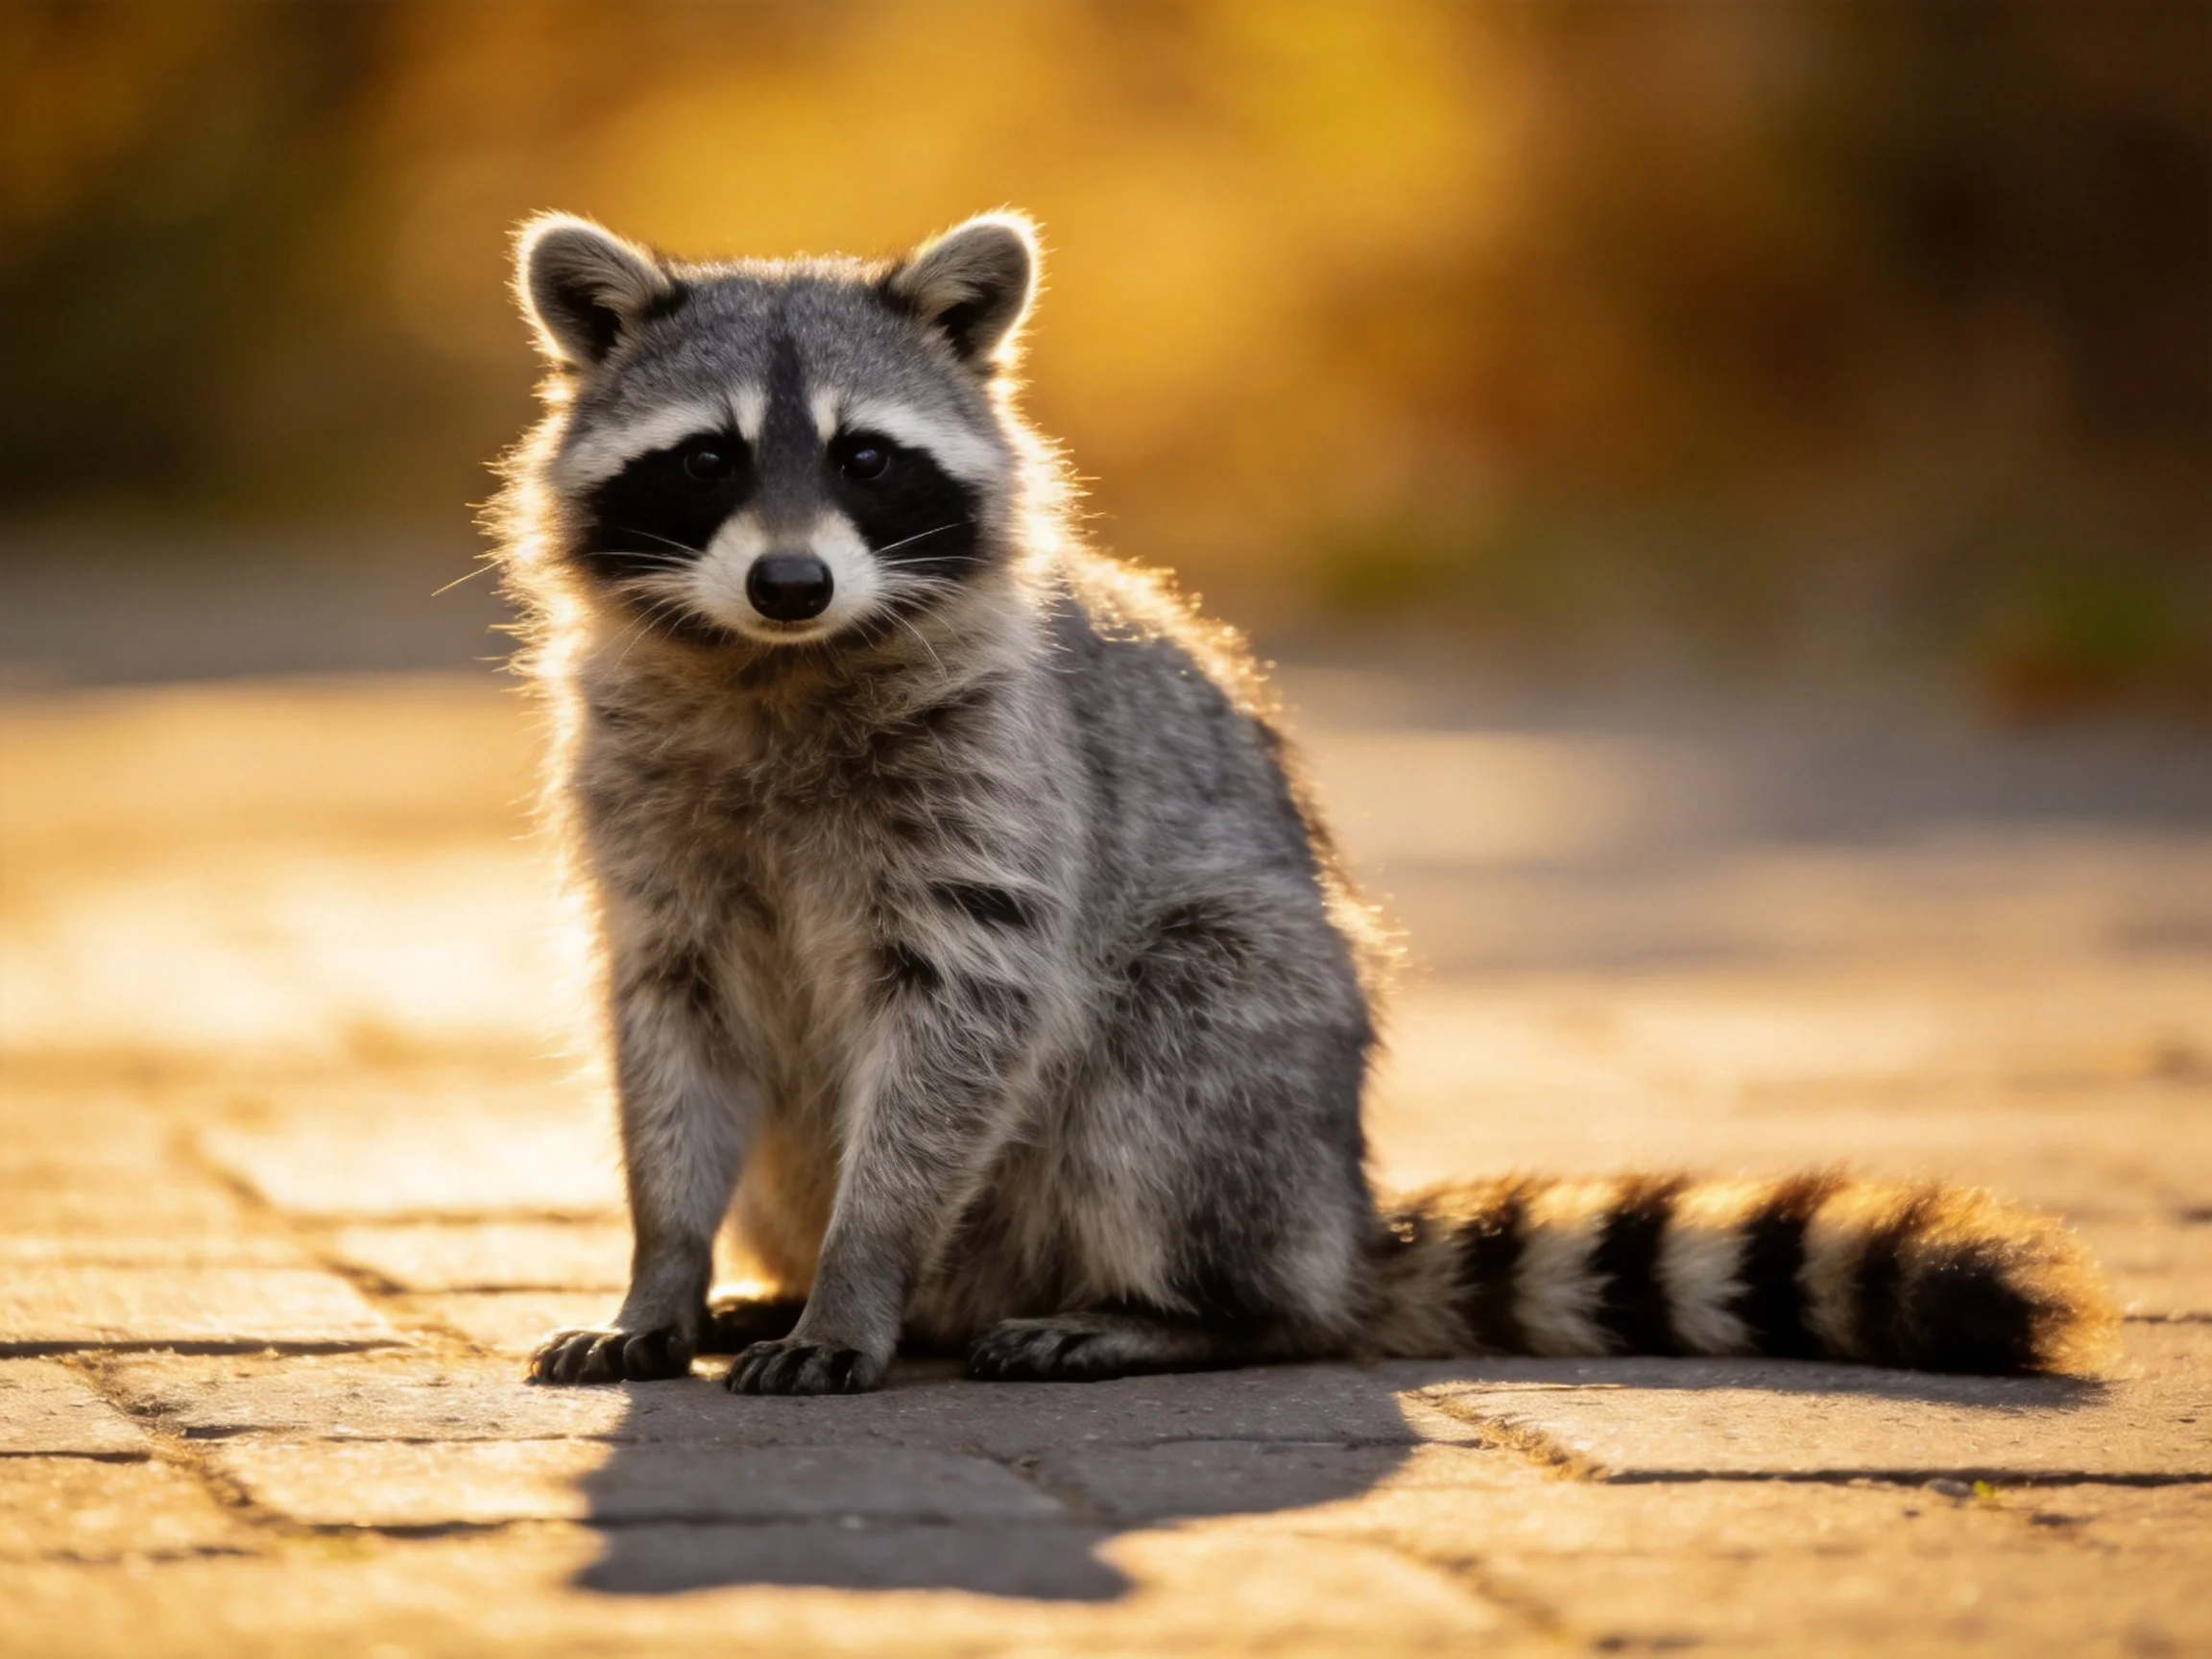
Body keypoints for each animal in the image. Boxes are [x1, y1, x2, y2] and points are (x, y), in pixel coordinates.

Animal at [494, 211, 2116, 1395]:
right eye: (707, 458)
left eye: (867, 458)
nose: (791, 581)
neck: (775, 668)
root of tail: (1342, 1220)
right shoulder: (645, 821)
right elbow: (668, 1034)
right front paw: (666, 1262)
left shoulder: (1001, 789)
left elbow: (964, 1020)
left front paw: (857, 1275)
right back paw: (769, 1278)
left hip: (1253, 1057)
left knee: (1179, 1051)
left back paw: (1185, 1311)